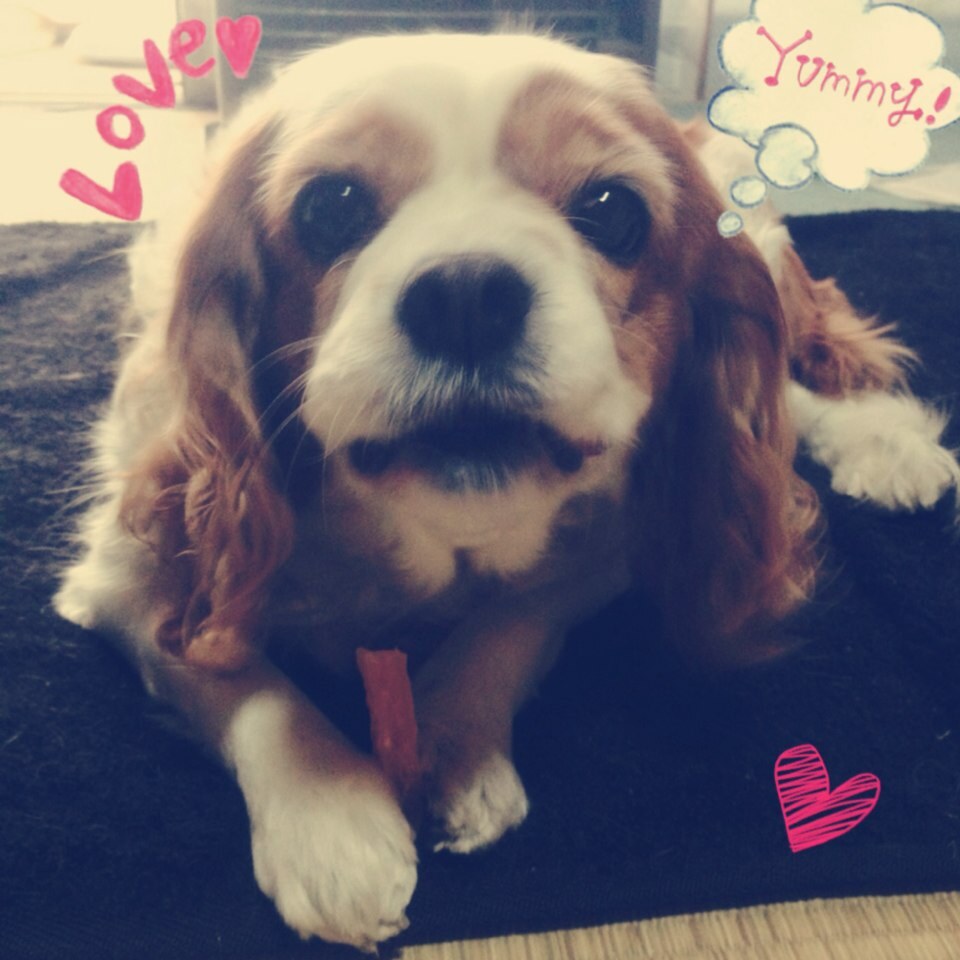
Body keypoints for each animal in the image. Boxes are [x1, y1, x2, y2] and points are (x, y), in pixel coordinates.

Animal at [55, 32, 960, 950]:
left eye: (613, 209)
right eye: (328, 206)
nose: (466, 296)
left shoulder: (619, 533)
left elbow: (516, 618)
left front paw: (456, 738)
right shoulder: (133, 572)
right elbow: (243, 679)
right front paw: (332, 824)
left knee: (783, 392)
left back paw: (885, 447)